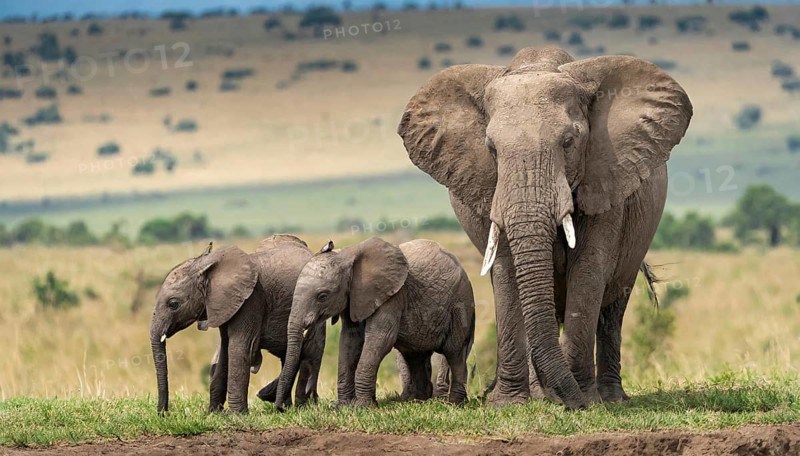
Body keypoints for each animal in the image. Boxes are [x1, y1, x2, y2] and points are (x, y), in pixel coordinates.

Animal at [150, 235, 326, 414]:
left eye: (173, 304)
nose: (163, 413)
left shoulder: (251, 301)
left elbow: (239, 349)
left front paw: (237, 415)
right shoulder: (225, 305)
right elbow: (225, 352)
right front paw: (214, 413)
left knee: (309, 353)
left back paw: (301, 407)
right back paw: (284, 405)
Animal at [275, 237, 475, 410]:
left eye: (322, 296)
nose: (281, 408)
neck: (347, 255)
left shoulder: (393, 296)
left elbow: (379, 339)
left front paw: (362, 407)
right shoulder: (354, 297)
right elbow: (350, 341)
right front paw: (343, 407)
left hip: (460, 305)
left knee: (454, 351)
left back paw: (455, 403)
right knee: (414, 355)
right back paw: (417, 401)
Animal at [397, 47, 692, 409]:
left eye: (568, 142)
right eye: (491, 148)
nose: (574, 402)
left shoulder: (604, 178)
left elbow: (589, 271)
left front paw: (585, 400)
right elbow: (509, 274)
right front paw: (510, 404)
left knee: (613, 308)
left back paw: (609, 398)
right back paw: (544, 394)